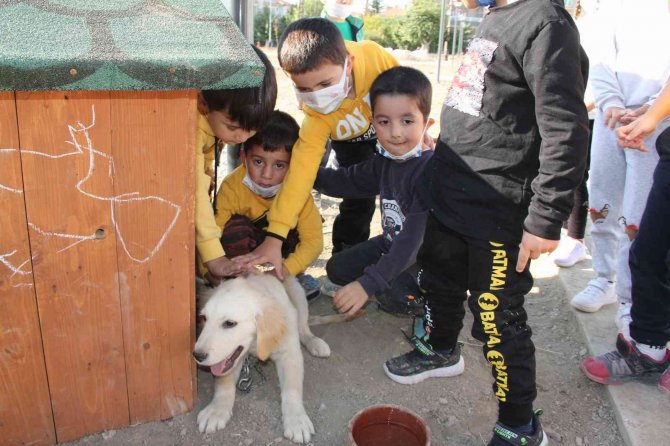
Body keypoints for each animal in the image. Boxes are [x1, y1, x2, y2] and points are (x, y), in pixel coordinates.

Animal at [193, 274, 332, 444]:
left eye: (229, 323)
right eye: (204, 318)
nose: (197, 356)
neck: (255, 344)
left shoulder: (290, 354)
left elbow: (292, 389)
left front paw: (297, 420)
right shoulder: (231, 361)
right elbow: (223, 382)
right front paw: (216, 409)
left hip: (297, 291)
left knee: (304, 327)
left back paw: (315, 343)